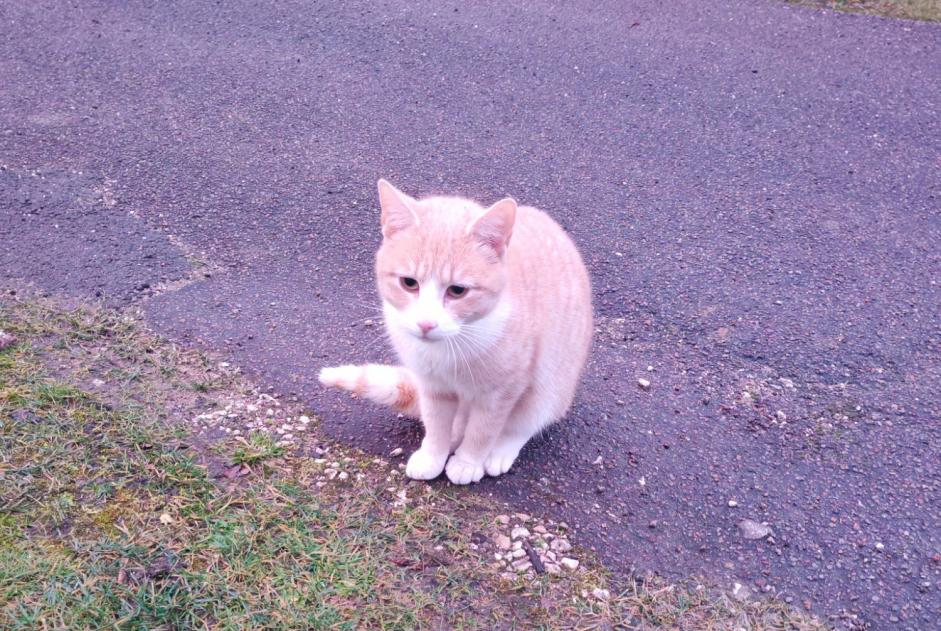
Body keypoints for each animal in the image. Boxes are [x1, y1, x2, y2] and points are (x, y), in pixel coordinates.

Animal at [320, 180, 592, 486]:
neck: (449, 348)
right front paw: (433, 454)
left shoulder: (501, 392)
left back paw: (499, 451)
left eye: (458, 290)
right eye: (409, 283)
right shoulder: (432, 386)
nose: (426, 324)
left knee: (525, 423)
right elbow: (436, 423)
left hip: (552, 384)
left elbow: (483, 430)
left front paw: (468, 462)